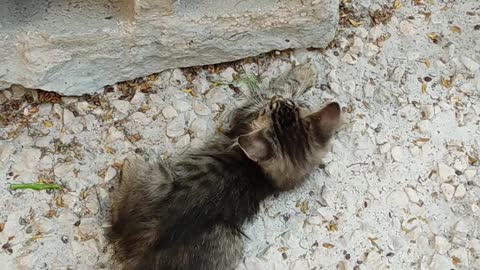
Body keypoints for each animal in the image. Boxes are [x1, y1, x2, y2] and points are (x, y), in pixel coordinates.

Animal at [109, 63, 342, 270]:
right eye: (289, 106)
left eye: (274, 107)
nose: (277, 102)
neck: (260, 173)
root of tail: (139, 247)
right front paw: (305, 73)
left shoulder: (246, 113)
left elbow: (279, 86)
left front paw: (301, 72)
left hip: (161, 180)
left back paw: (128, 163)